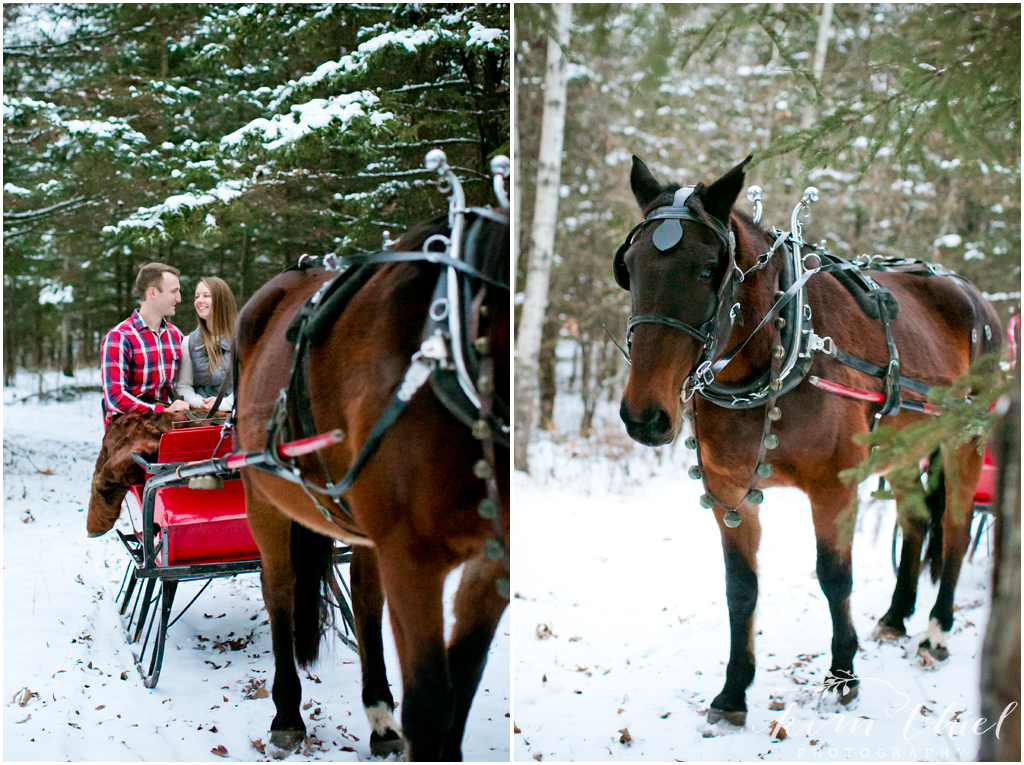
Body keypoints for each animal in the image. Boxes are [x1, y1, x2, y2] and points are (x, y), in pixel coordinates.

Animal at [234, 211, 509, 761]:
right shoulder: (412, 557)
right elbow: (431, 703)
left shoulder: (492, 561)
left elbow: (464, 682)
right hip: (264, 498)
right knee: (280, 589)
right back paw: (287, 713)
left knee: (364, 597)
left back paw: (381, 717)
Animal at [614, 153, 999, 725]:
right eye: (630, 268)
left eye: (708, 269)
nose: (644, 416)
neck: (782, 351)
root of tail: (977, 297)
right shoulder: (729, 496)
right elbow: (740, 589)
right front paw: (733, 690)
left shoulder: (834, 487)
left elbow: (835, 577)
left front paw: (842, 675)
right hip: (904, 448)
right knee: (915, 520)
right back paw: (896, 615)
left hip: (963, 442)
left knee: (952, 527)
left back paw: (936, 629)